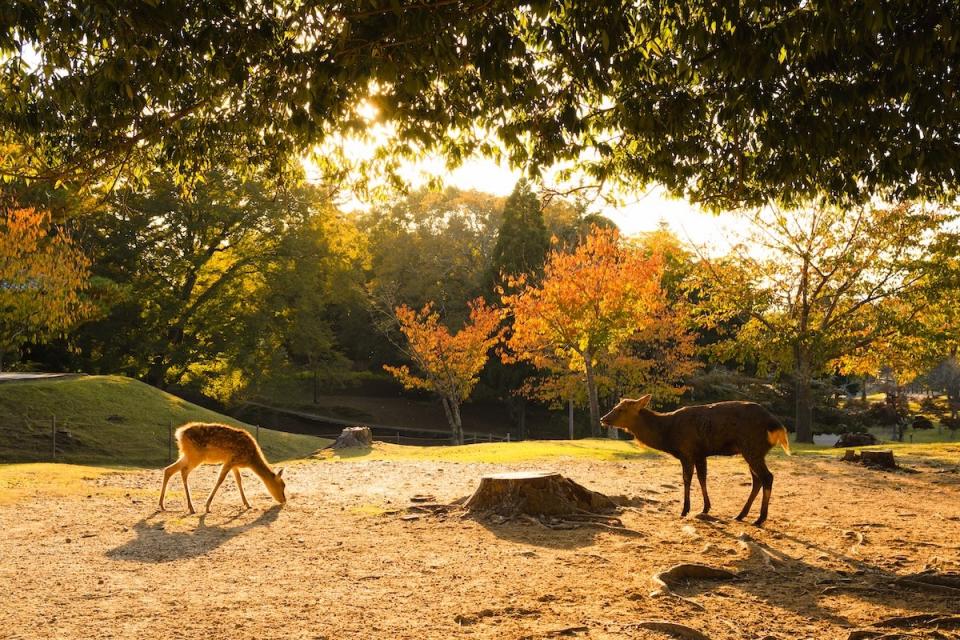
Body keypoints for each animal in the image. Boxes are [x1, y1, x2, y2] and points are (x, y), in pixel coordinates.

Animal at [604, 396, 792, 524]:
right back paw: (740, 515)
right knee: (757, 479)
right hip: (753, 451)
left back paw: (760, 519)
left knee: (767, 477)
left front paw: (684, 510)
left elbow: (687, 479)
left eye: (620, 409)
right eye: (616, 406)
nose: (603, 419)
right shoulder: (700, 454)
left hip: (752, 448)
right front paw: (706, 507)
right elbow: (703, 478)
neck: (667, 435)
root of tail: (777, 425)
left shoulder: (686, 451)